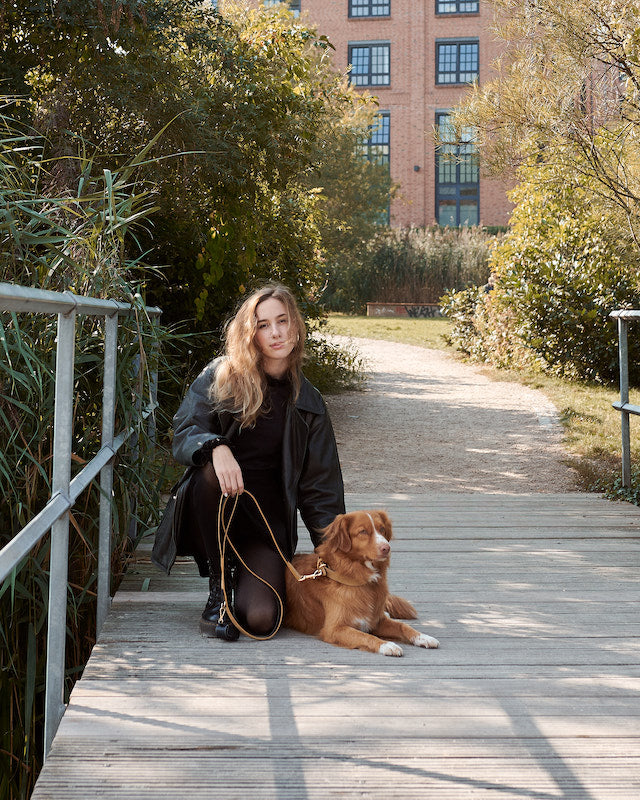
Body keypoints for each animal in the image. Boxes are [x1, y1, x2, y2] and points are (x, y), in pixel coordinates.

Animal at [284, 512, 440, 656]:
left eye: (382, 529)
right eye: (363, 531)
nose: (387, 548)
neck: (361, 581)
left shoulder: (376, 621)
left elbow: (403, 626)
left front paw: (423, 637)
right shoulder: (334, 629)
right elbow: (364, 635)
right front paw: (386, 645)